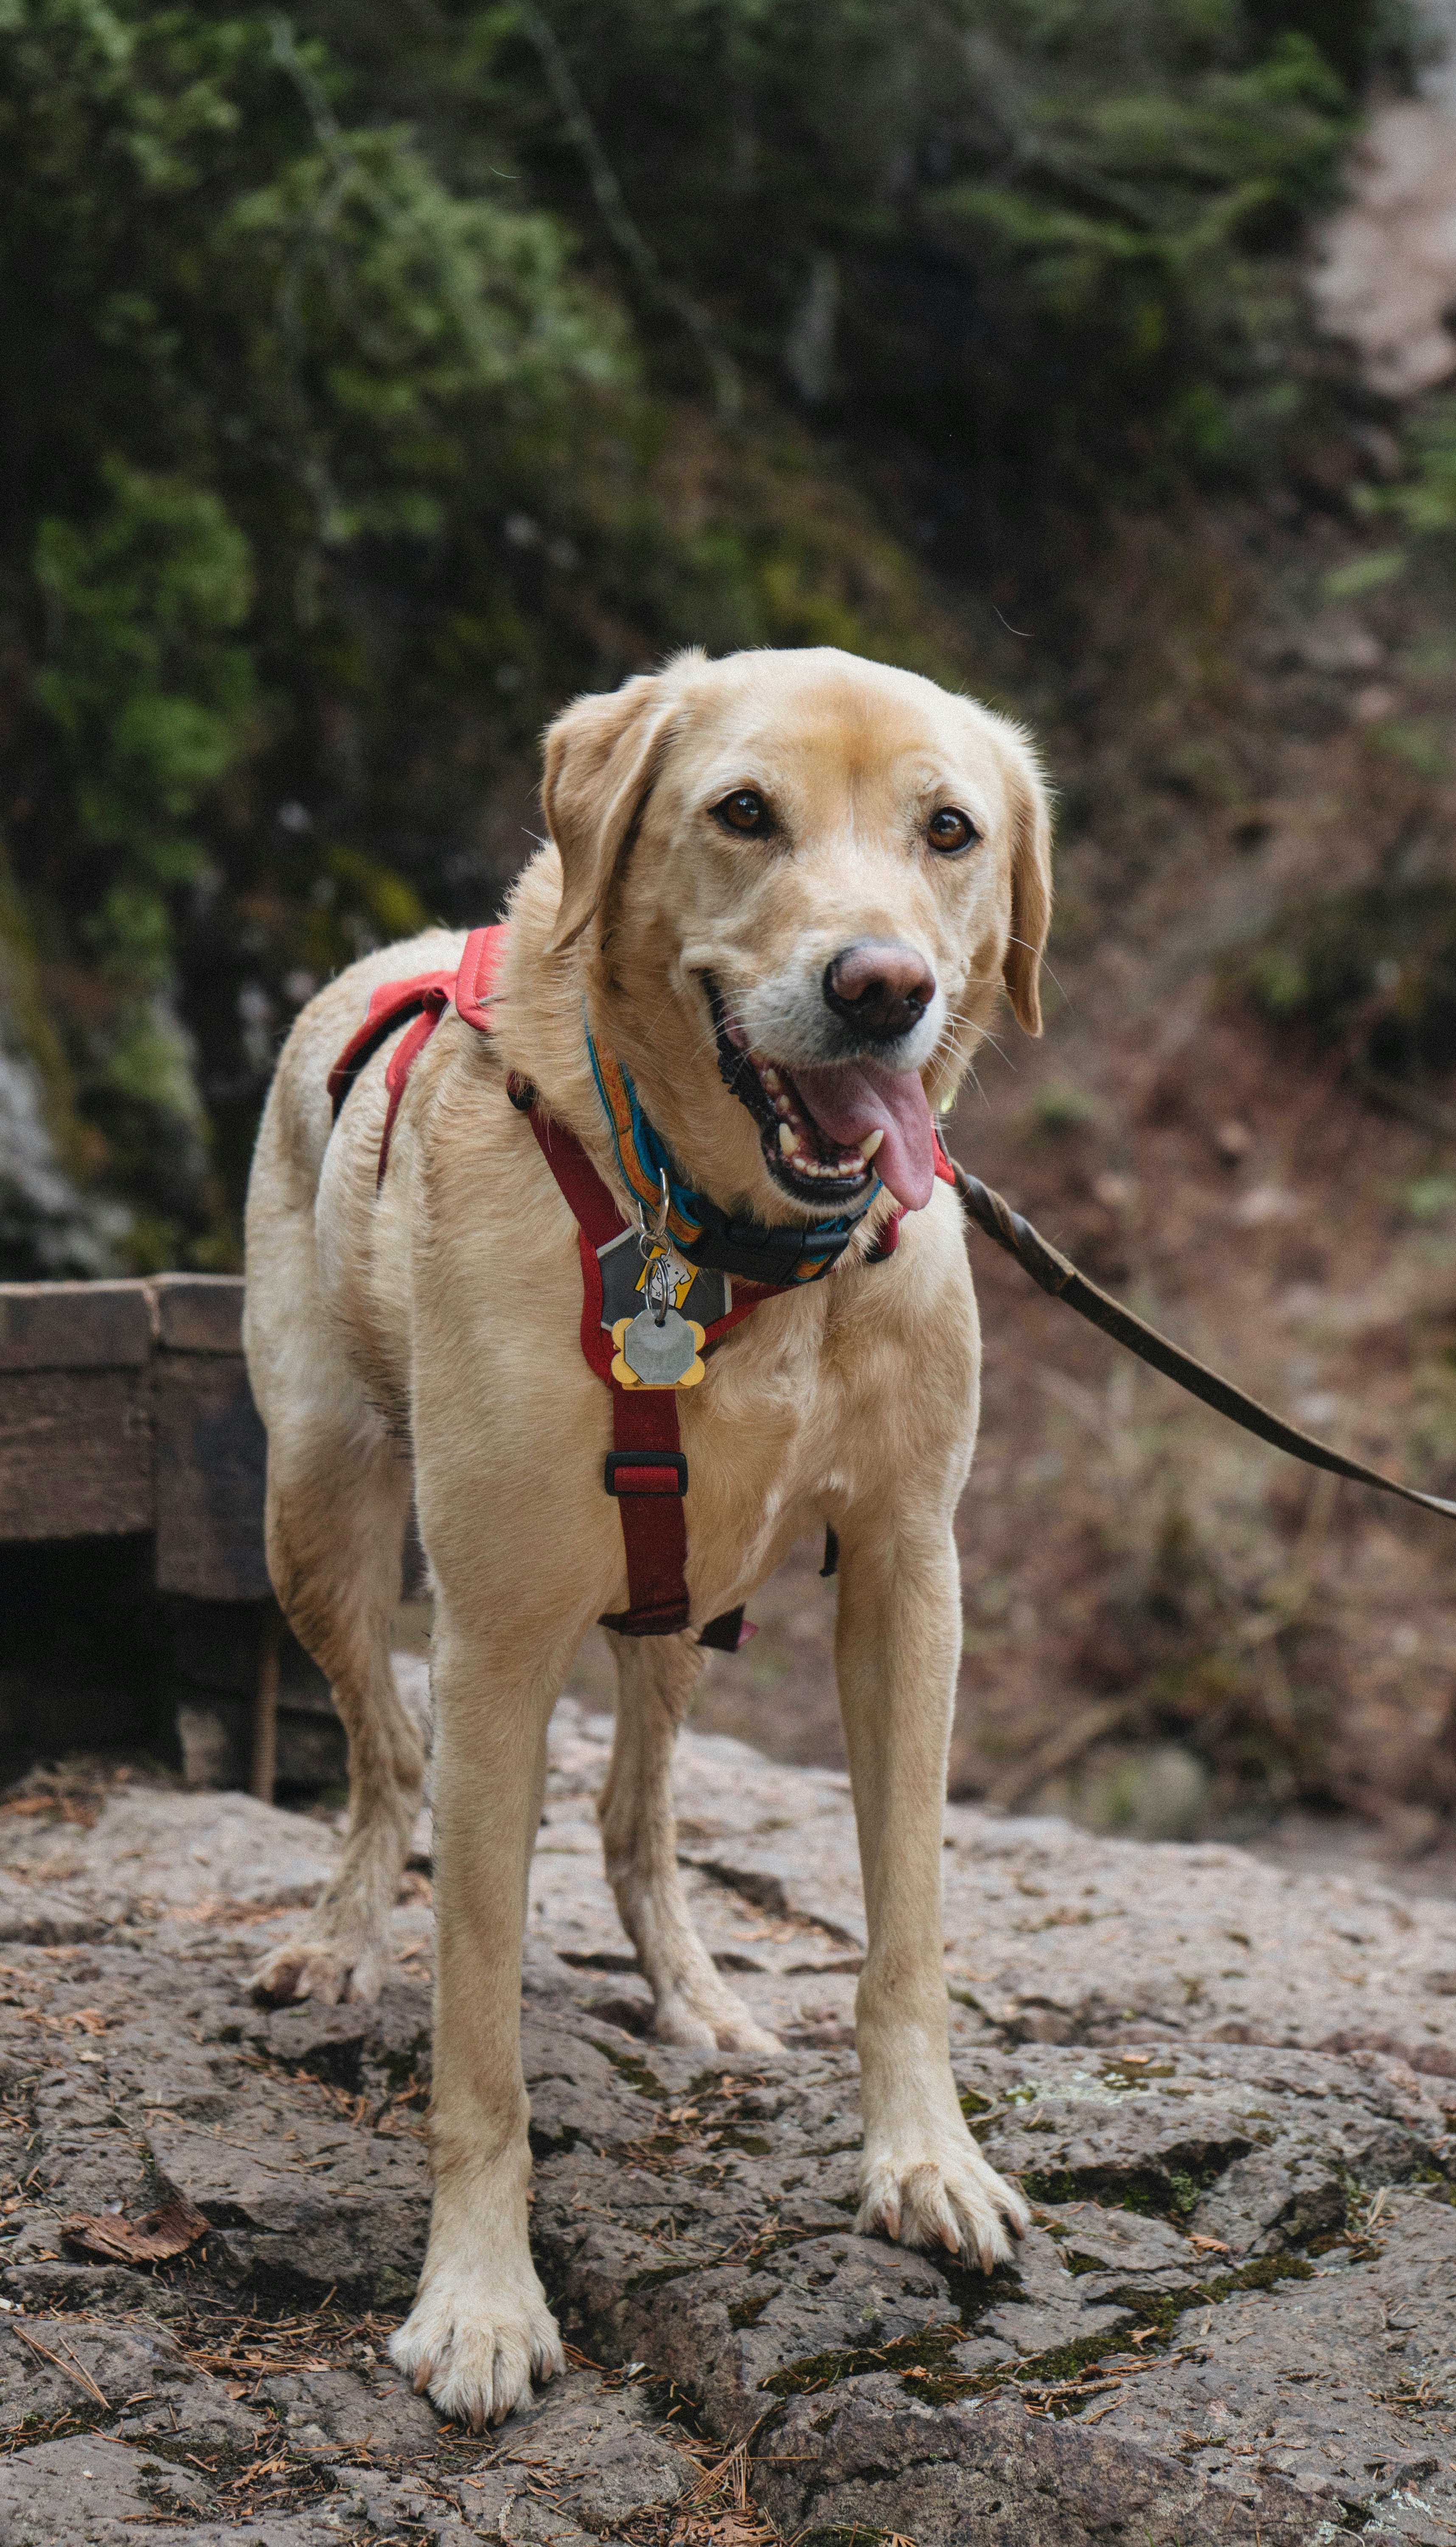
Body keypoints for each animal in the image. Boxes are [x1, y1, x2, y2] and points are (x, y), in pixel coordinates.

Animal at [244, 637, 1054, 2425]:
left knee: (634, 1822)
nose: (881, 987)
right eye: (742, 813)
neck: (732, 1245)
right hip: (312, 1513)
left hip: (689, 1602)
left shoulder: (909, 1578)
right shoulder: (492, 1637)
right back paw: (336, 1939)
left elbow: (904, 1927)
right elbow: (476, 2031)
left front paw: (924, 2161)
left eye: (949, 830)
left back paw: (693, 1993)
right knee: (379, 1755)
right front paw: (479, 2298)